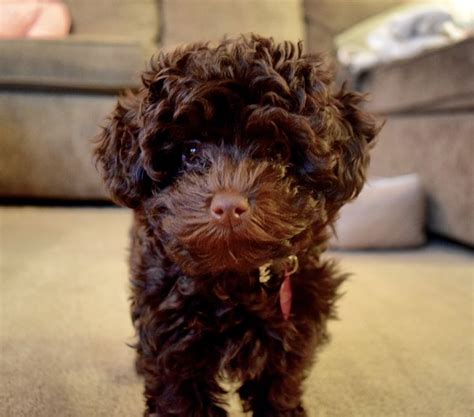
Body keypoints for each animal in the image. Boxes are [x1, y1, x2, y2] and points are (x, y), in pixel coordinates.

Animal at [95, 36, 378, 416]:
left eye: (277, 151)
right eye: (190, 152)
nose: (229, 206)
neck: (236, 278)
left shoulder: (296, 320)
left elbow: (280, 387)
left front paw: (284, 410)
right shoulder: (173, 335)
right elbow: (179, 396)